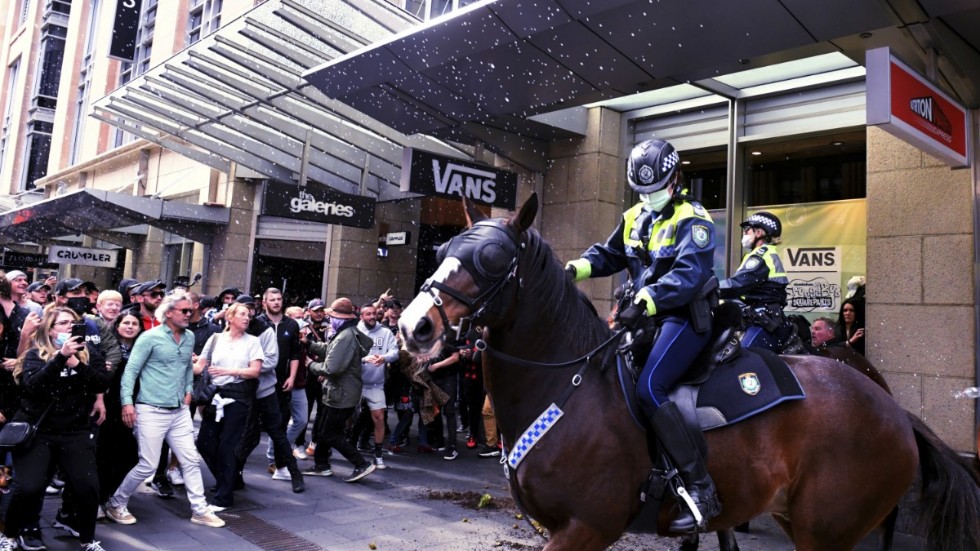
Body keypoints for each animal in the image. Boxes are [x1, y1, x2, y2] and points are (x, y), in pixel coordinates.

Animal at [398, 195, 980, 551]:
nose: (413, 326)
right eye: (444, 249)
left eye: (494, 258)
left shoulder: (585, 527)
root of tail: (897, 412)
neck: (569, 387)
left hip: (827, 530)